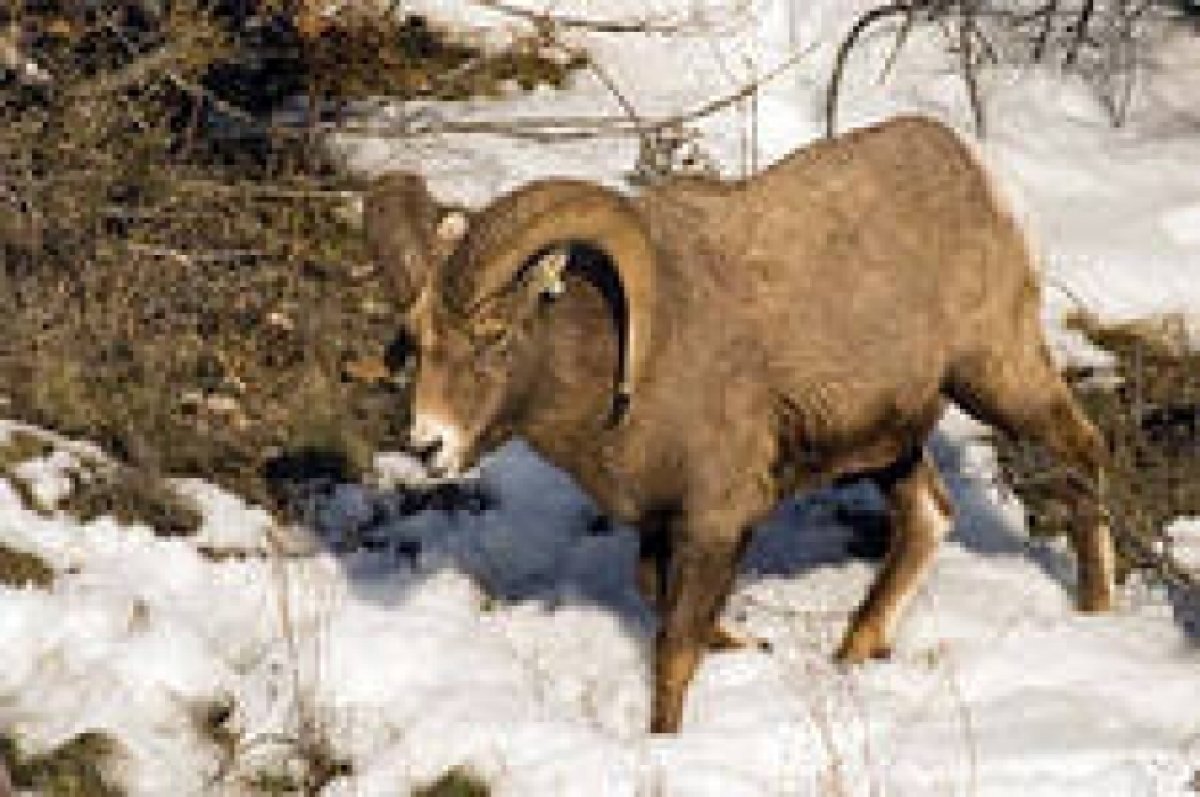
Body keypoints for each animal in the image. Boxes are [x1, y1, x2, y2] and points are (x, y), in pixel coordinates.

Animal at [362, 113, 1113, 734]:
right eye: (417, 340)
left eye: (494, 337)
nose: (428, 444)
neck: (625, 361)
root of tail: (981, 174)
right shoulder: (665, 523)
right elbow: (656, 595)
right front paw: (753, 644)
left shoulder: (718, 517)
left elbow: (674, 649)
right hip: (887, 446)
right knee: (929, 516)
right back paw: (854, 650)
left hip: (997, 376)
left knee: (1082, 449)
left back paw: (1097, 610)